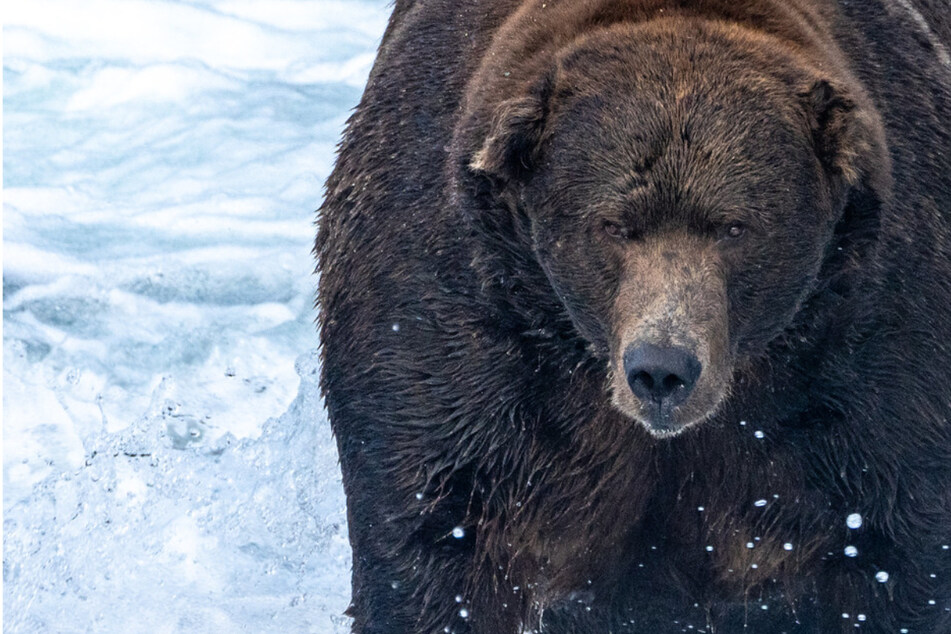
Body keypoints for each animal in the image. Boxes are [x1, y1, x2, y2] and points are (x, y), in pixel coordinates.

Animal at [316, 0, 951, 632]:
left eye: (734, 227)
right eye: (614, 226)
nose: (662, 369)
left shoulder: (868, 339)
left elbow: (892, 544)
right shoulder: (466, 321)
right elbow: (438, 530)